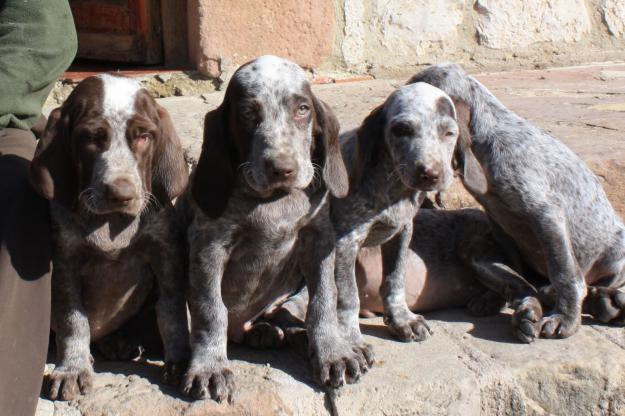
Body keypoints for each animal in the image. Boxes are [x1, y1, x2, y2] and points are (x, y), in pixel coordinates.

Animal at [408, 64, 624, 342]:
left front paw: (565, 317)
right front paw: (496, 297)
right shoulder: (501, 226)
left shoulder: (546, 215)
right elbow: (510, 269)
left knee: (602, 284)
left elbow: (564, 272)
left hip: (616, 255)